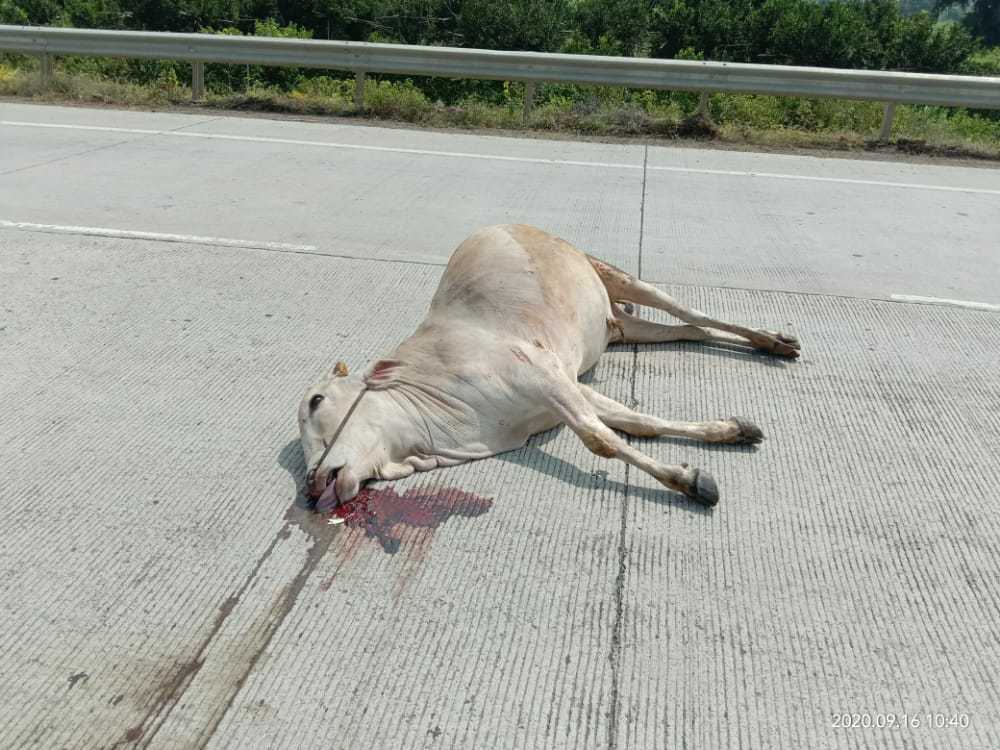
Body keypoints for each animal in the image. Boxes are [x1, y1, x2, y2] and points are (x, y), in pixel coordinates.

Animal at [299, 224, 798, 511]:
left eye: (316, 400)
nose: (311, 483)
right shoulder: (569, 385)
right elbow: (638, 423)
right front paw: (729, 431)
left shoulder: (542, 374)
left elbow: (601, 439)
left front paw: (688, 481)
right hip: (624, 327)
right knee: (690, 330)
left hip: (616, 275)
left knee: (694, 313)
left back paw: (774, 341)